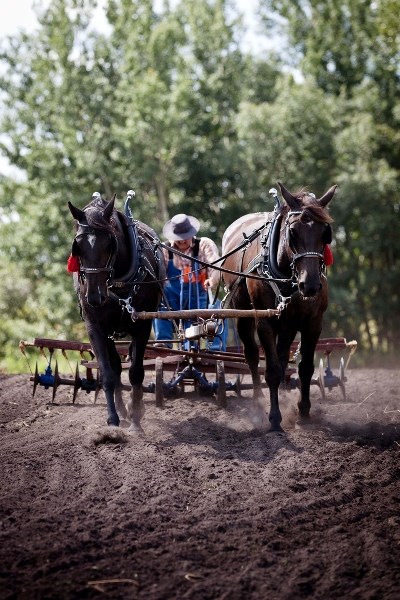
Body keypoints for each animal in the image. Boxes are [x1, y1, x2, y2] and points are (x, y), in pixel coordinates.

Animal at [68, 192, 165, 432]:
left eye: (109, 243)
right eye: (78, 245)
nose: (95, 297)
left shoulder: (142, 324)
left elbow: (136, 372)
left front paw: (136, 420)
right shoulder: (95, 328)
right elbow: (108, 374)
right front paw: (113, 419)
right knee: (116, 366)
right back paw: (122, 410)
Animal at [222, 182, 338, 432]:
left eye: (325, 234)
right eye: (292, 232)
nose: (310, 285)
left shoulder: (313, 323)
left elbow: (305, 367)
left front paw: (303, 411)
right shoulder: (264, 321)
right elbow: (272, 370)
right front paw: (274, 418)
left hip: (288, 325)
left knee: (284, 357)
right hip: (244, 315)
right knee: (252, 355)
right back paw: (258, 404)